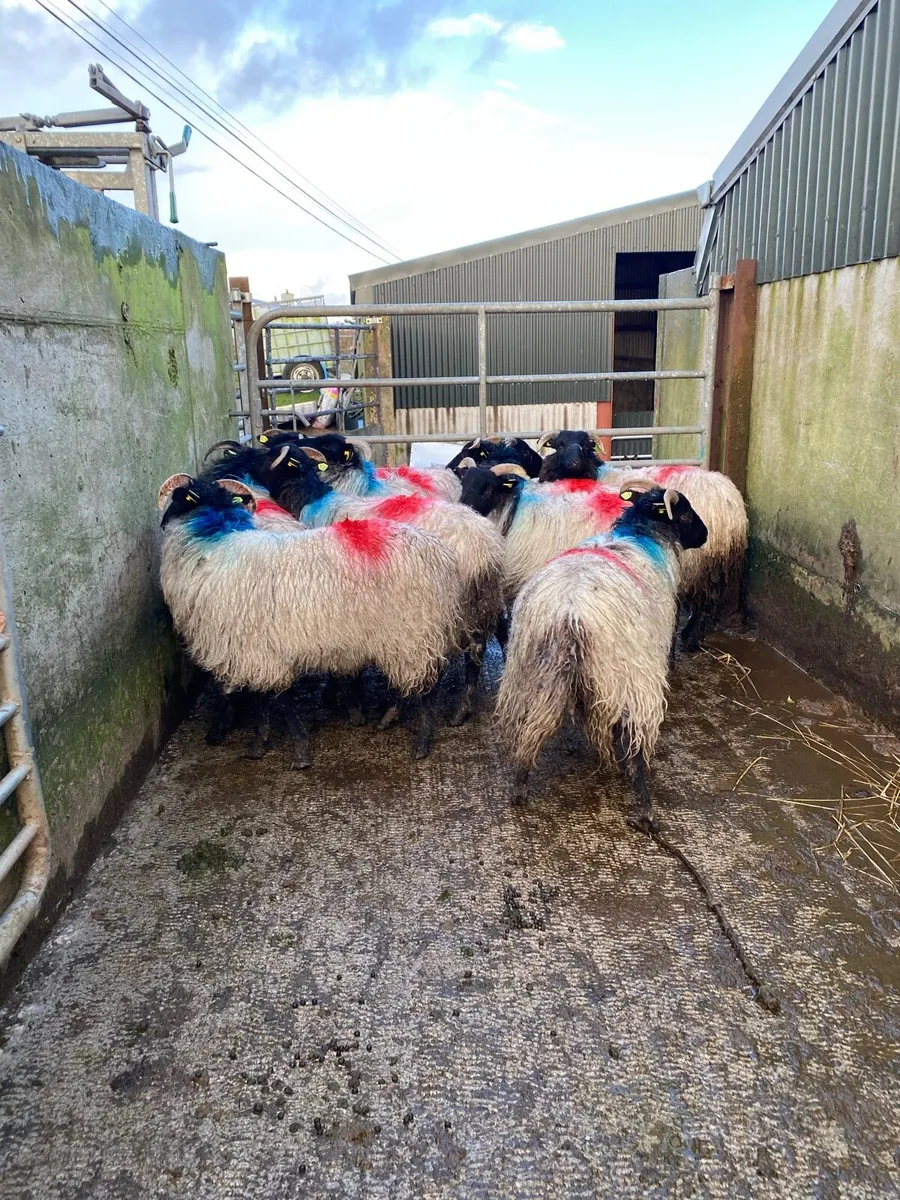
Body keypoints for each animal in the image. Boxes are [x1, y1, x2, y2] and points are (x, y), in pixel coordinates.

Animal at [158, 473, 463, 762]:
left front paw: (289, 749)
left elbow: (275, 699)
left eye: (180, 498)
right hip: (407, 638)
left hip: (414, 631)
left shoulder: (254, 649)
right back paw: (390, 718)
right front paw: (266, 742)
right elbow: (266, 698)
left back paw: (421, 743)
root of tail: (442, 556)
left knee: (430, 686)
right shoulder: (259, 651)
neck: (212, 545)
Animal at [267, 441, 506, 726]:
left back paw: (393, 711)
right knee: (479, 649)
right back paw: (462, 709)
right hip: (480, 603)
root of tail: (483, 549)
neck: (315, 500)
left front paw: (341, 698)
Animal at [495, 484, 708, 823]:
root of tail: (568, 614)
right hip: (631, 675)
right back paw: (644, 806)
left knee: (530, 730)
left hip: (530, 671)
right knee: (636, 739)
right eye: (685, 514)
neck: (641, 534)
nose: (705, 535)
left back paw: (519, 785)